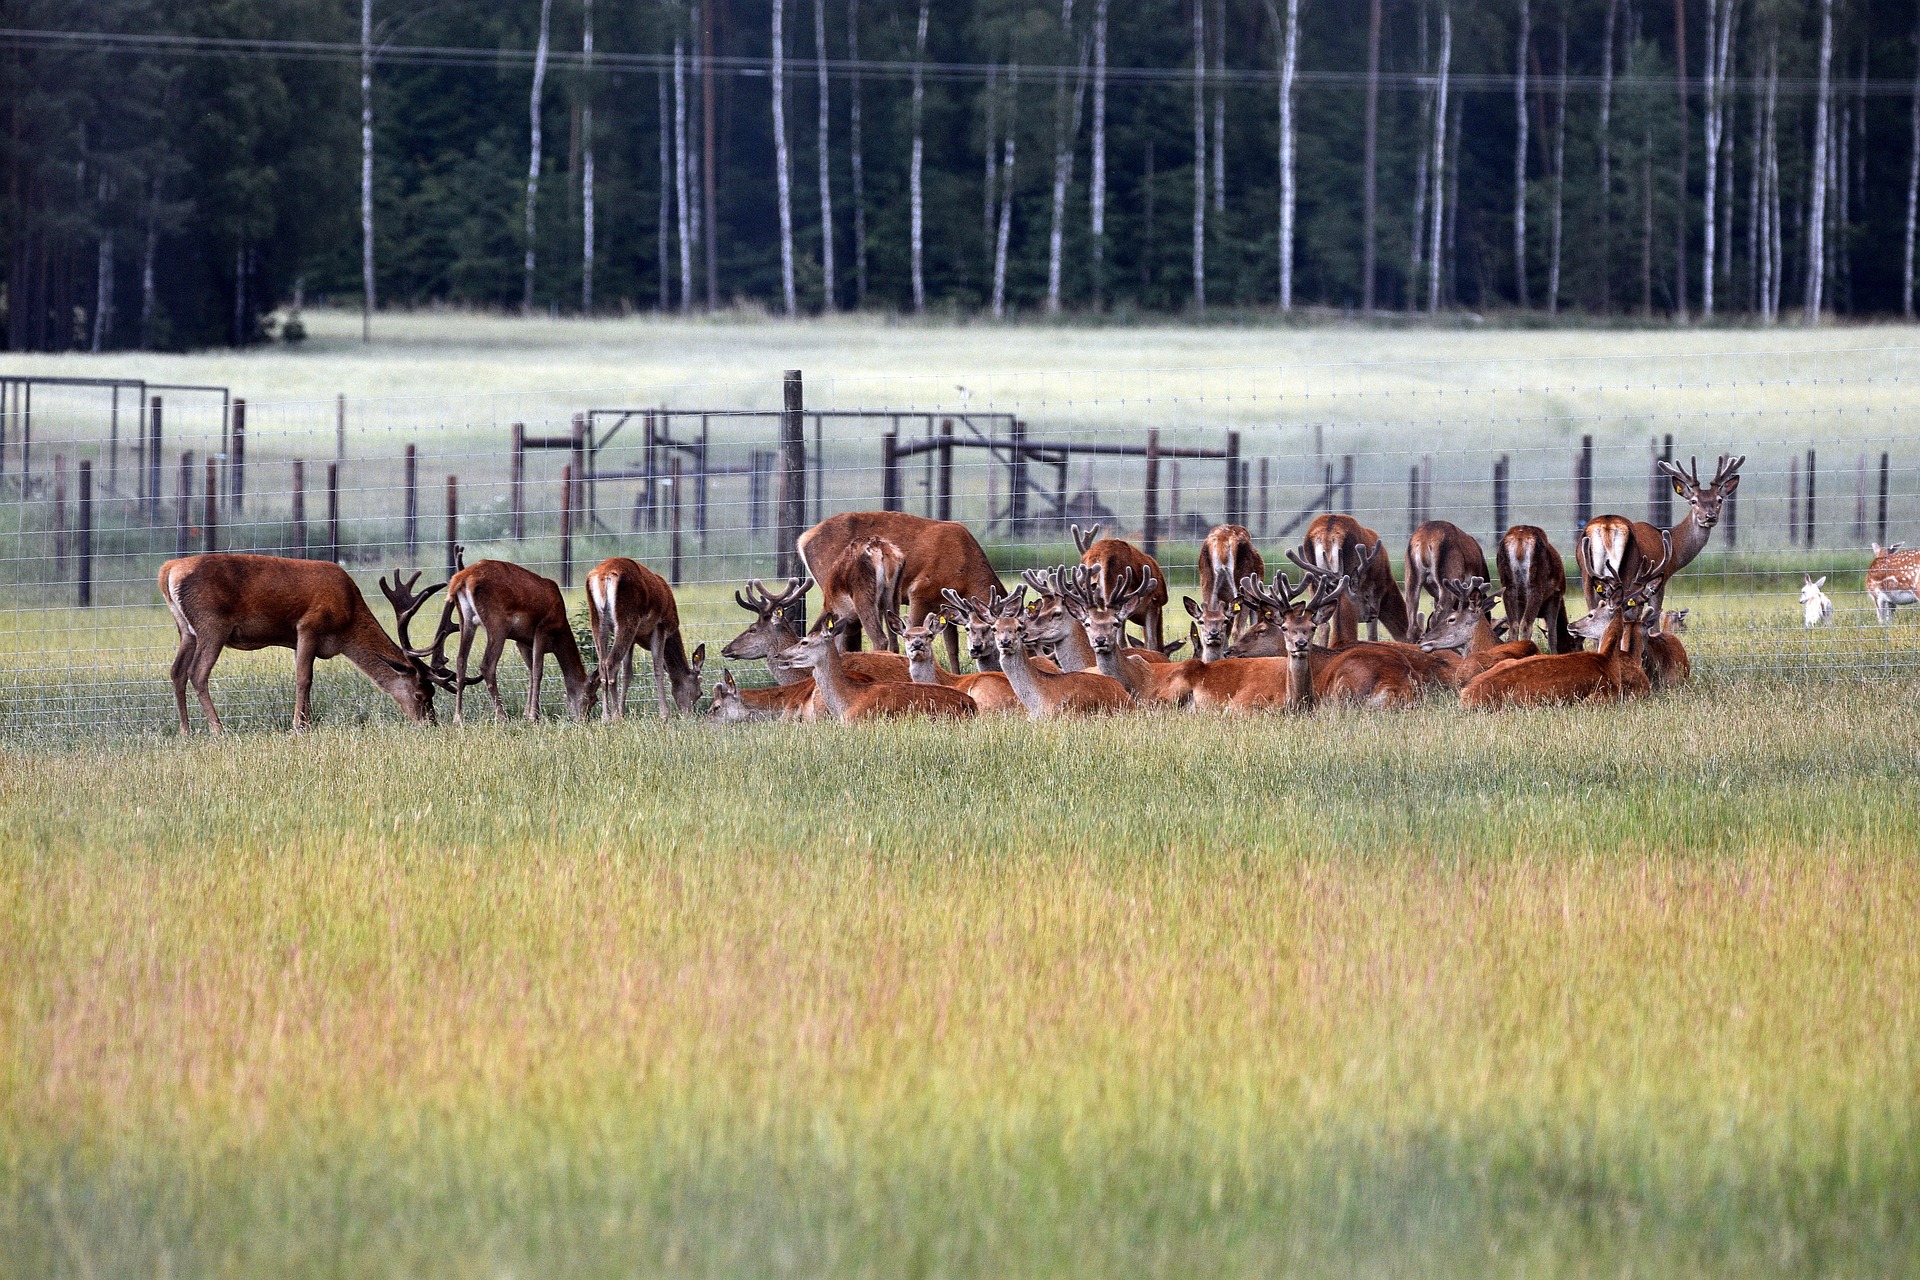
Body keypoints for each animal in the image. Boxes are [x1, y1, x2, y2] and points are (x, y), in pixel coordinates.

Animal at [159, 552, 452, 734]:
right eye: (420, 694)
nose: (430, 724)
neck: (347, 624)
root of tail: (168, 571)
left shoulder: (297, 640)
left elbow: (306, 677)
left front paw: (307, 723)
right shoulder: (309, 625)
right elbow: (304, 679)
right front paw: (298, 727)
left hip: (186, 630)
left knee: (176, 672)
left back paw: (185, 731)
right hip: (212, 623)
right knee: (197, 672)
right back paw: (218, 729)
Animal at [580, 557, 706, 720]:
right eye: (700, 693)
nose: (689, 714)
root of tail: (603, 576)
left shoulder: (635, 638)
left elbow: (627, 673)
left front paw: (623, 710)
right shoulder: (660, 627)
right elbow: (657, 668)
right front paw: (664, 714)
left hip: (597, 620)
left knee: (602, 665)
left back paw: (606, 717)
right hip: (628, 617)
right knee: (611, 664)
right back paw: (615, 717)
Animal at [796, 511, 1003, 669]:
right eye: (992, 630)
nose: (977, 649)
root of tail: (803, 539)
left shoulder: (944, 604)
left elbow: (952, 649)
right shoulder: (919, 593)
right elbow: (915, 630)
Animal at [1496, 525, 1578, 653]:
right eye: (1574, 645)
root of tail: (1520, 541)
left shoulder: (1521, 602)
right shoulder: (1556, 593)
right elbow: (1553, 635)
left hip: (1508, 585)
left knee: (1513, 626)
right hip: (1535, 584)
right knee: (1526, 625)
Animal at [1577, 453, 1743, 612]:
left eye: (1719, 500)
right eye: (1693, 501)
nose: (1710, 517)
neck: (1676, 552)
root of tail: (1607, 524)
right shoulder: (1659, 580)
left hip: (1587, 575)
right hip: (1626, 571)